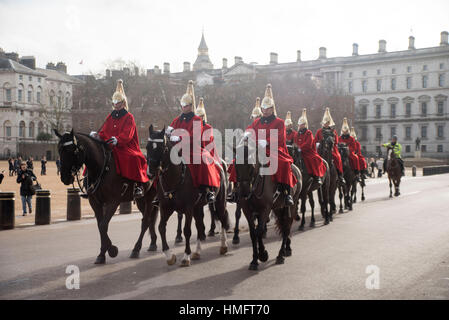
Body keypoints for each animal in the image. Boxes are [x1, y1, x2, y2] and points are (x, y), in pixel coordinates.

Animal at [54, 129, 158, 264]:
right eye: (59, 149)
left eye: (72, 150)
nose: (65, 177)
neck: (101, 168)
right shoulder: (95, 202)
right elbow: (100, 225)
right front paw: (102, 254)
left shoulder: (113, 202)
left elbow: (103, 225)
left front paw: (112, 250)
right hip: (141, 200)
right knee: (149, 220)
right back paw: (153, 243)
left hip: (150, 198)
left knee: (145, 222)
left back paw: (136, 249)